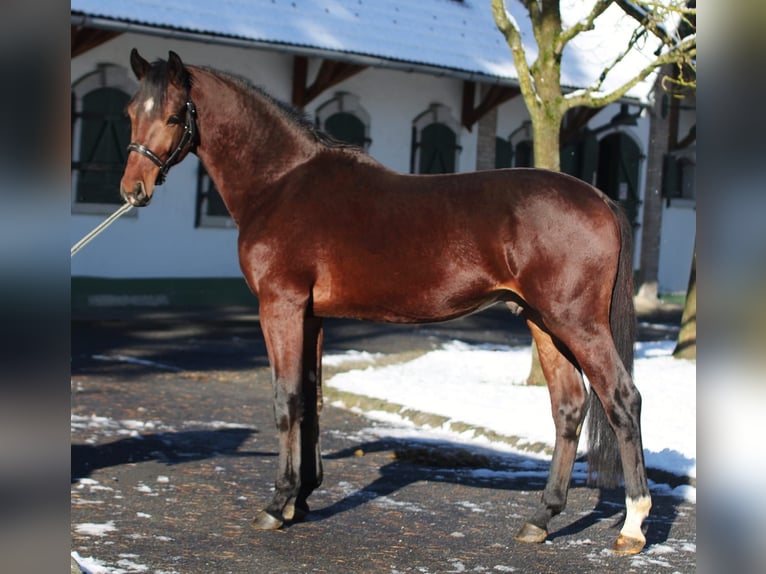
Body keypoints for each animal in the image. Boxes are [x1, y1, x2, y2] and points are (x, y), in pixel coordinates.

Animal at [121, 50, 656, 560]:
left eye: (173, 115)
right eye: (129, 111)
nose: (133, 189)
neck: (281, 182)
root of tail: (599, 198)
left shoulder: (281, 307)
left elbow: (286, 399)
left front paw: (278, 503)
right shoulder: (312, 316)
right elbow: (312, 399)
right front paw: (303, 497)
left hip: (577, 323)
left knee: (622, 399)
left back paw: (631, 526)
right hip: (543, 322)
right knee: (569, 407)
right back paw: (540, 519)